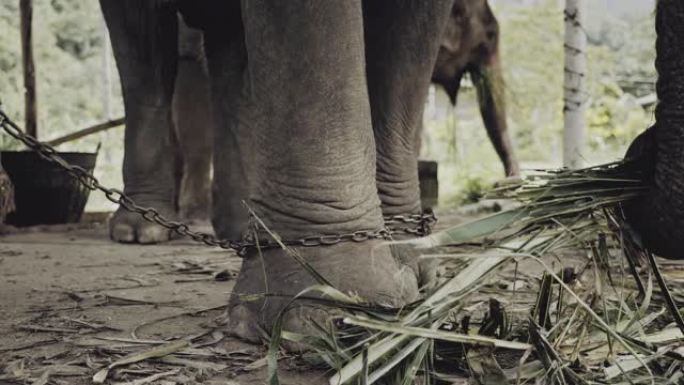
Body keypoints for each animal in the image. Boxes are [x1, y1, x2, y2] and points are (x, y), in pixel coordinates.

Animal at [101, 0, 454, 342]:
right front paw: (321, 316)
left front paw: (407, 262)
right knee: (144, 49)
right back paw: (141, 230)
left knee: (227, 49)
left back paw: (238, 231)